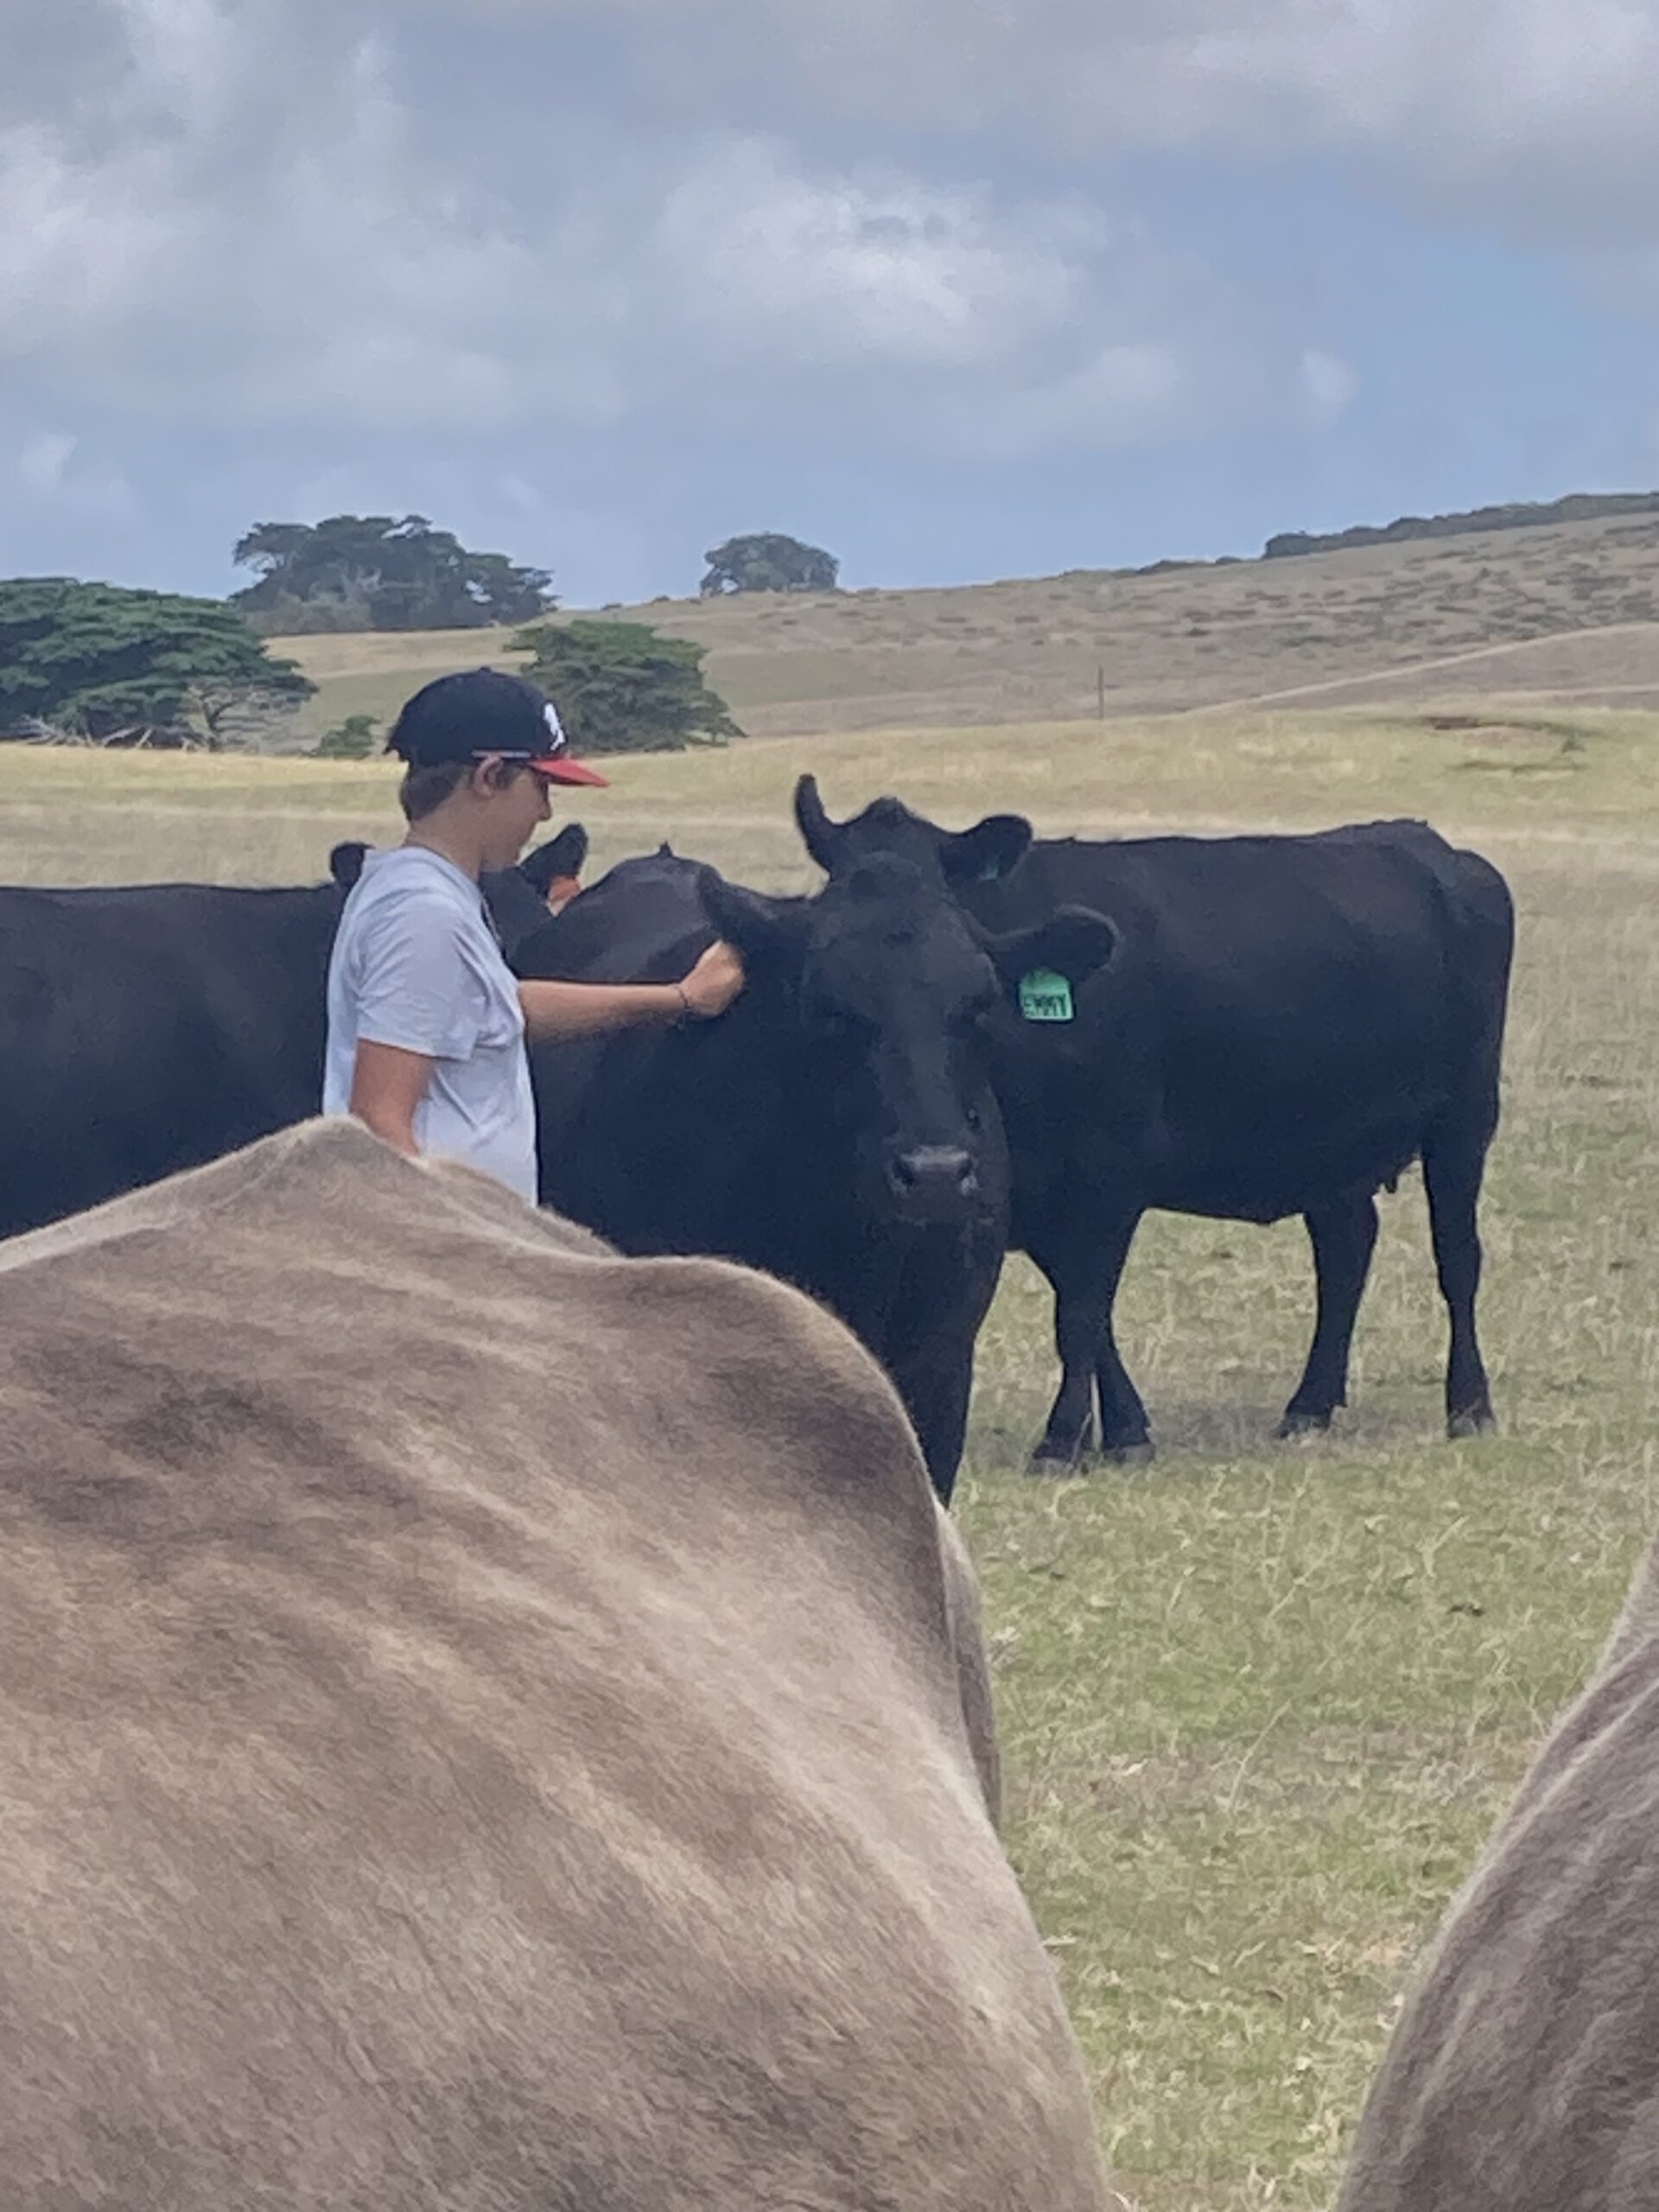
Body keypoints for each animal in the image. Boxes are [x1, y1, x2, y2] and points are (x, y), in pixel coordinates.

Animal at [792, 777, 1515, 1467]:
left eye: (946, 896)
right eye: (831, 895)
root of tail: (1430, 843)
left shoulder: (1109, 1170)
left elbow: (1081, 1313)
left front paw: (1063, 1441)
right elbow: (1091, 1314)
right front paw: (1125, 1430)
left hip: (1464, 1121)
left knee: (1458, 1257)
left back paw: (1470, 1407)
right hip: (1330, 1149)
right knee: (1346, 1250)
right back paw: (1310, 1405)